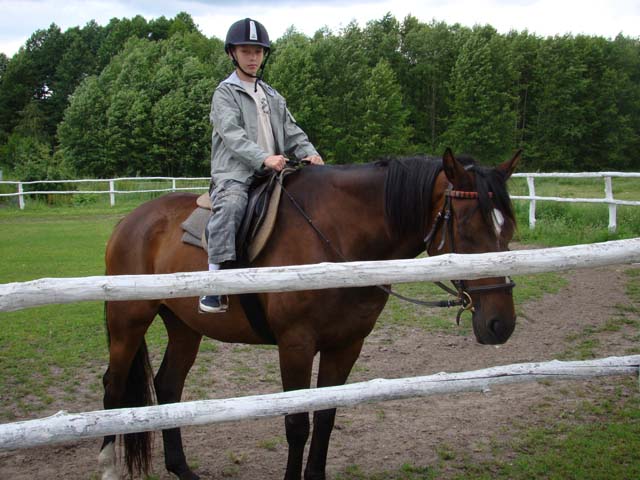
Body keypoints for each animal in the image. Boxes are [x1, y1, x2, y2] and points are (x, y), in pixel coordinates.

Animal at [99, 148, 521, 480]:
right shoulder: (296, 345)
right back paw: (108, 466)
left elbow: (326, 417)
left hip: (185, 327)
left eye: (508, 230)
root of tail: (130, 221)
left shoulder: (346, 345)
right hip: (128, 322)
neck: (339, 239)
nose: (501, 325)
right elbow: (297, 423)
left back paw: (182, 469)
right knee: (113, 388)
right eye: (467, 229)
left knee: (169, 388)